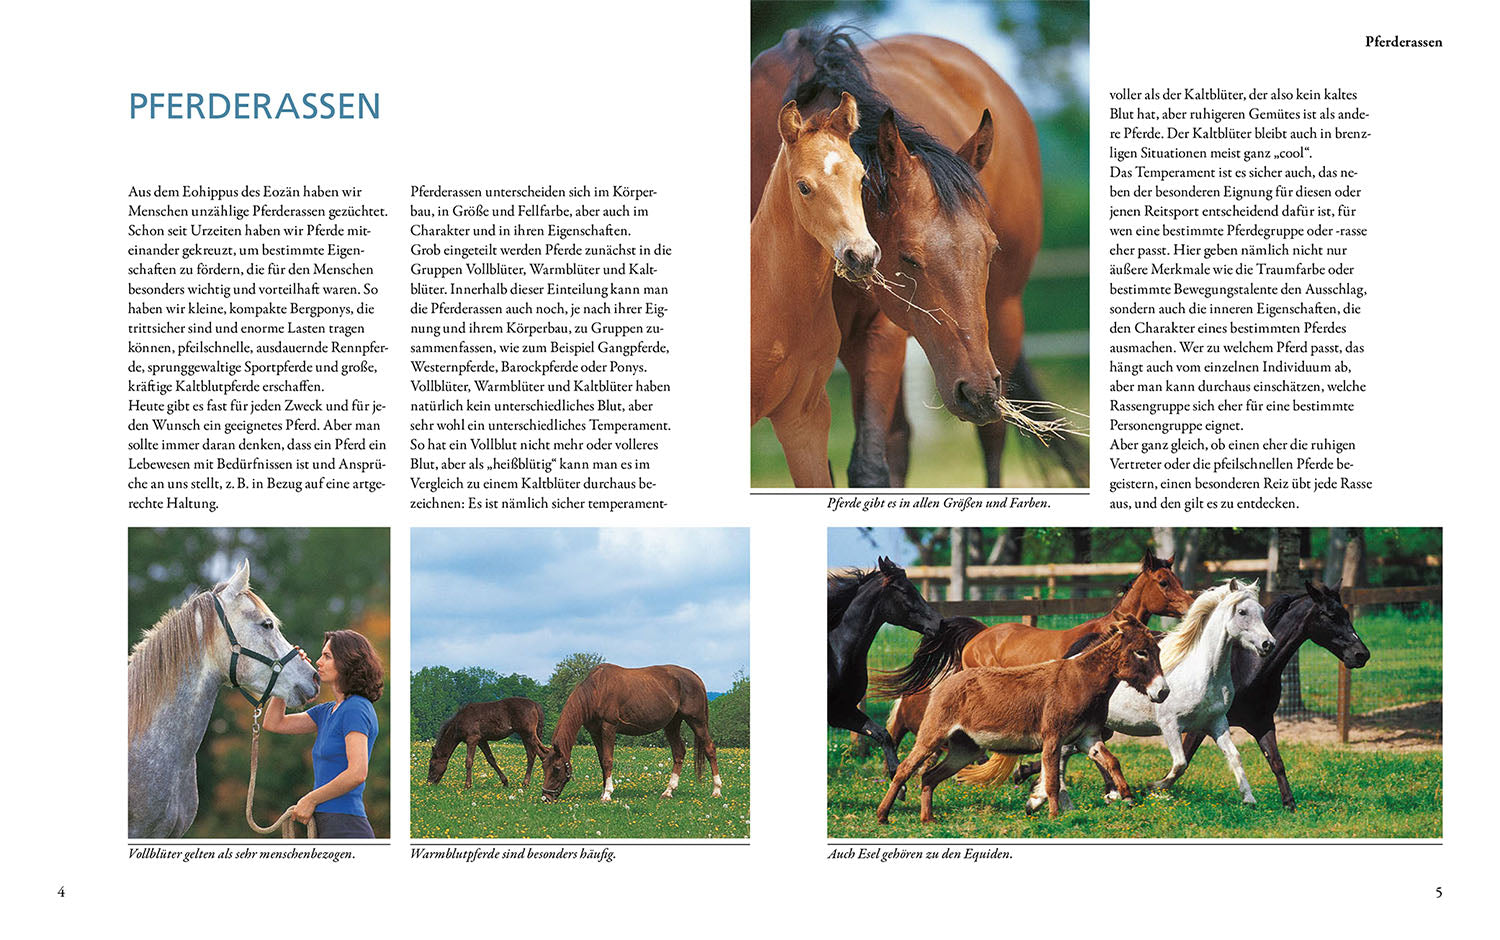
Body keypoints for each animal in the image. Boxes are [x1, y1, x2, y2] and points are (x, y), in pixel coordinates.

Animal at [539, 664, 720, 803]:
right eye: (543, 767)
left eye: (556, 768)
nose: (546, 798)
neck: (597, 690)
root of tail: (696, 678)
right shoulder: (595, 733)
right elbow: (601, 761)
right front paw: (603, 792)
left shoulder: (609, 728)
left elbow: (608, 760)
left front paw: (607, 794)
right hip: (672, 724)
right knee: (678, 752)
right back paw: (668, 791)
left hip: (697, 721)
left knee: (709, 749)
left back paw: (716, 790)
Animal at [828, 556, 942, 788]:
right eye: (905, 590)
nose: (937, 623)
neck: (837, 652)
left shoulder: (840, 711)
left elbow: (883, 734)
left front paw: (900, 785)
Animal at [877, 617, 1168, 823]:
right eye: (1141, 652)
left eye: (1156, 651)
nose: (1163, 692)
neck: (1083, 680)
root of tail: (950, 678)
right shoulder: (1053, 738)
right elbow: (1052, 780)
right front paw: (1054, 816)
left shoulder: (1088, 737)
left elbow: (1111, 761)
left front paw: (1127, 796)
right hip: (933, 735)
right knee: (905, 769)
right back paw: (883, 815)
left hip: (964, 748)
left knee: (929, 776)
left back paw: (928, 819)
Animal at [1012, 580, 1275, 804]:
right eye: (1242, 612)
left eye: (1262, 610)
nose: (1268, 644)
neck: (1203, 672)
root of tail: (1071, 660)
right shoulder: (1170, 724)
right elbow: (1180, 763)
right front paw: (1155, 787)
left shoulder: (1217, 722)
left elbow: (1234, 757)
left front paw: (1249, 799)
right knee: (1064, 753)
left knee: (1072, 753)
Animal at [1176, 580, 1372, 810]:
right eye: (1330, 615)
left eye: (1347, 614)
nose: (1362, 654)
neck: (1245, 670)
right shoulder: (1202, 725)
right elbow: (1185, 758)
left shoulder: (1263, 723)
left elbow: (1277, 762)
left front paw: (1290, 805)